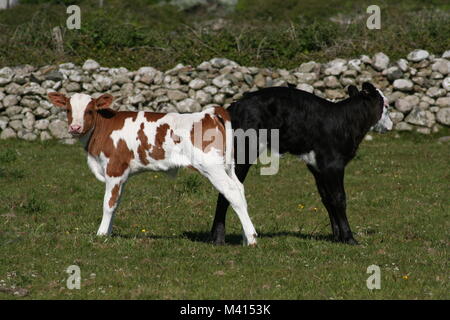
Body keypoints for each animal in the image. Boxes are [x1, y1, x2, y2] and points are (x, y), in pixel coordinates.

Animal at [48, 92, 256, 245]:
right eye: (67, 109)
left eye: (90, 110)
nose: (75, 127)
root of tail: (209, 112)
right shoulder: (122, 174)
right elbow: (116, 203)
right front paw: (108, 233)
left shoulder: (114, 170)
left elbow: (108, 203)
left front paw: (100, 235)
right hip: (227, 166)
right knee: (240, 190)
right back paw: (246, 239)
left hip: (211, 166)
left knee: (232, 192)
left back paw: (253, 239)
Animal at [213, 82, 392, 245]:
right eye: (386, 105)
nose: (390, 126)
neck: (347, 122)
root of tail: (233, 106)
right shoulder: (333, 163)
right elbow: (339, 198)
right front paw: (349, 238)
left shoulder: (318, 167)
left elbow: (328, 199)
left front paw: (337, 237)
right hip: (243, 153)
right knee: (228, 191)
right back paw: (220, 239)